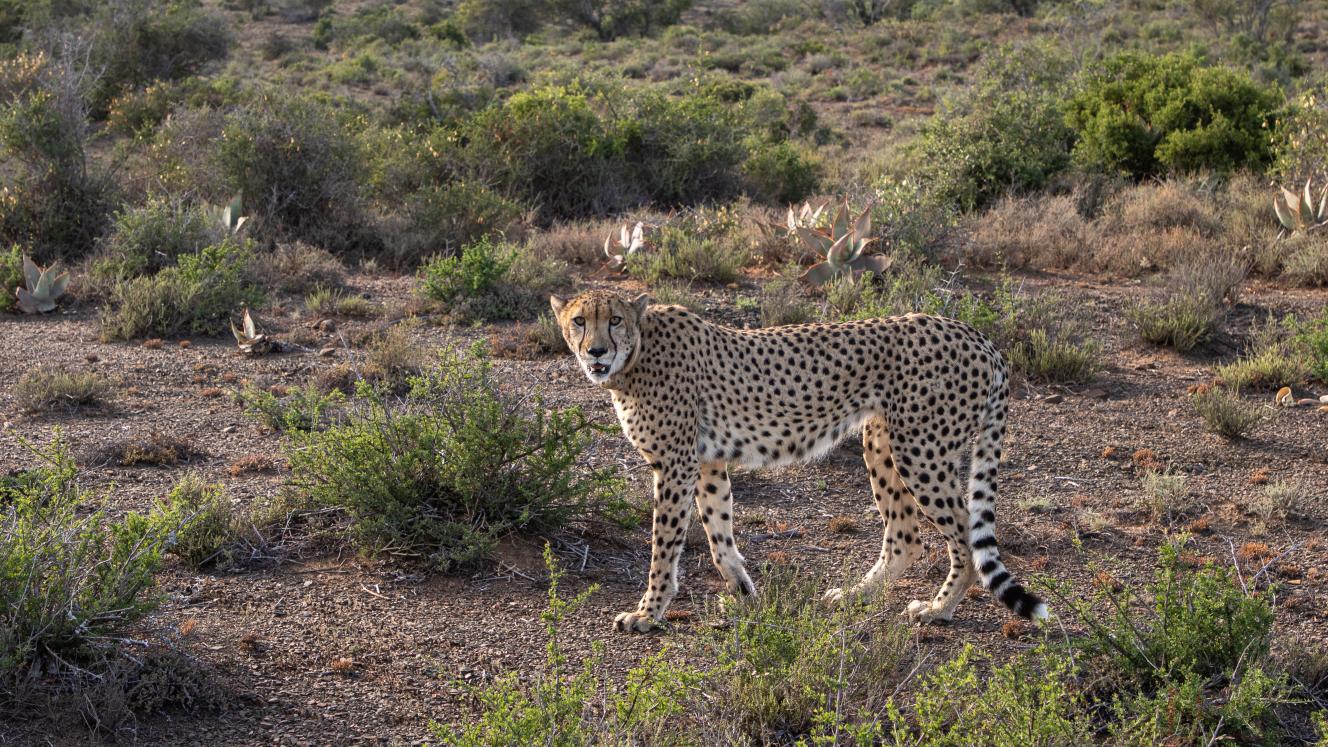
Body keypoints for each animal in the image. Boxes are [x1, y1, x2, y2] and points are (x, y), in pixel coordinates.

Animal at [550, 289, 1048, 633]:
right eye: (579, 321)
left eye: (614, 320)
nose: (596, 351)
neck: (636, 356)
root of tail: (976, 335)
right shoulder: (707, 464)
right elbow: (718, 534)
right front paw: (742, 591)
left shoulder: (675, 464)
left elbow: (664, 545)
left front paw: (648, 612)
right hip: (881, 441)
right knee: (906, 535)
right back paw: (856, 595)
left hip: (921, 450)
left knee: (962, 530)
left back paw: (940, 608)